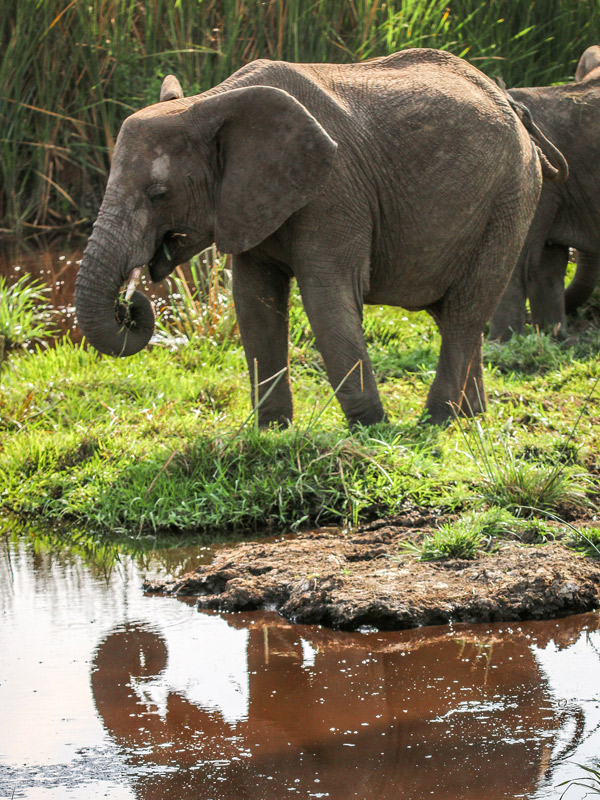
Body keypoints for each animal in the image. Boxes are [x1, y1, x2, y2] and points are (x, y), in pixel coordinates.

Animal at [76, 47, 544, 428]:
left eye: (159, 194)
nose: (130, 304)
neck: (211, 102)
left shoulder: (334, 190)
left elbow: (325, 297)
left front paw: (372, 430)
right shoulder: (252, 199)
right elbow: (255, 302)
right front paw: (272, 431)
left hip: (511, 196)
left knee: (466, 311)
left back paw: (436, 420)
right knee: (451, 315)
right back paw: (471, 416)